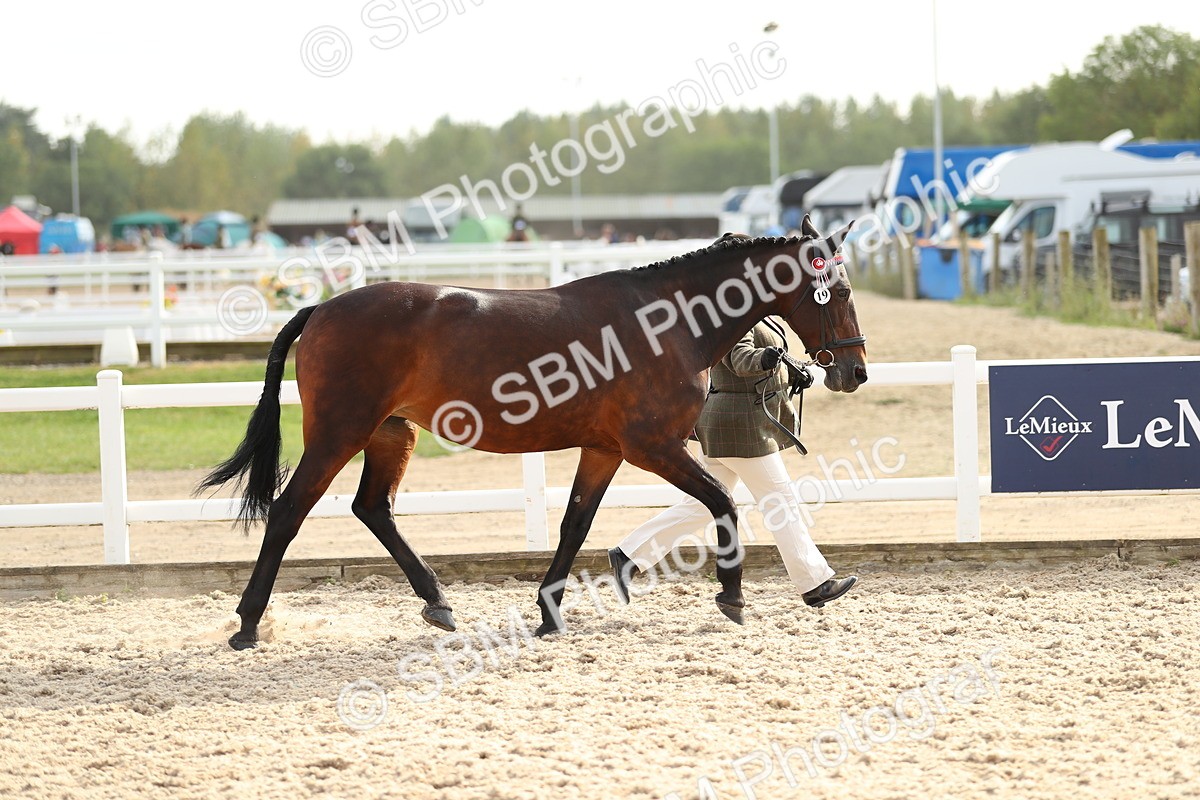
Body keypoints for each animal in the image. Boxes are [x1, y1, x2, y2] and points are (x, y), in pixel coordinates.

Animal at [198, 220, 868, 649]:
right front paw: (731, 596)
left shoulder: (604, 448)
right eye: (835, 292)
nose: (854, 371)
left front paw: (549, 613)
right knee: (289, 511)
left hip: (390, 433)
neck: (667, 322)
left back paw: (437, 601)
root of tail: (323, 308)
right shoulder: (651, 447)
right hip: (339, 433)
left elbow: (575, 523)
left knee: (373, 508)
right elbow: (723, 500)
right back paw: (248, 625)